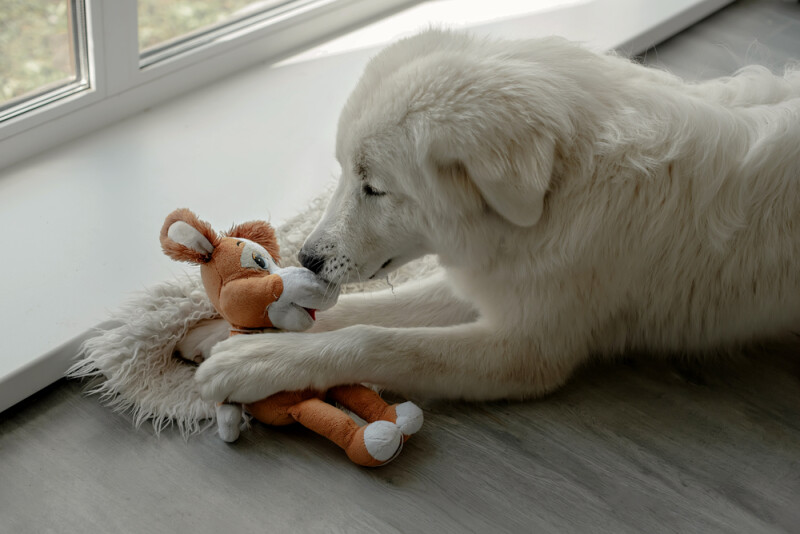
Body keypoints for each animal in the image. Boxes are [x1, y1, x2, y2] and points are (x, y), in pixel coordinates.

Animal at [192, 29, 800, 404]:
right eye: (343, 172)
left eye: (375, 188)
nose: (305, 258)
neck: (563, 188)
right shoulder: (496, 279)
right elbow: (377, 310)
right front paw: (231, 329)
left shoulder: (525, 349)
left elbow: (376, 339)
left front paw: (258, 360)